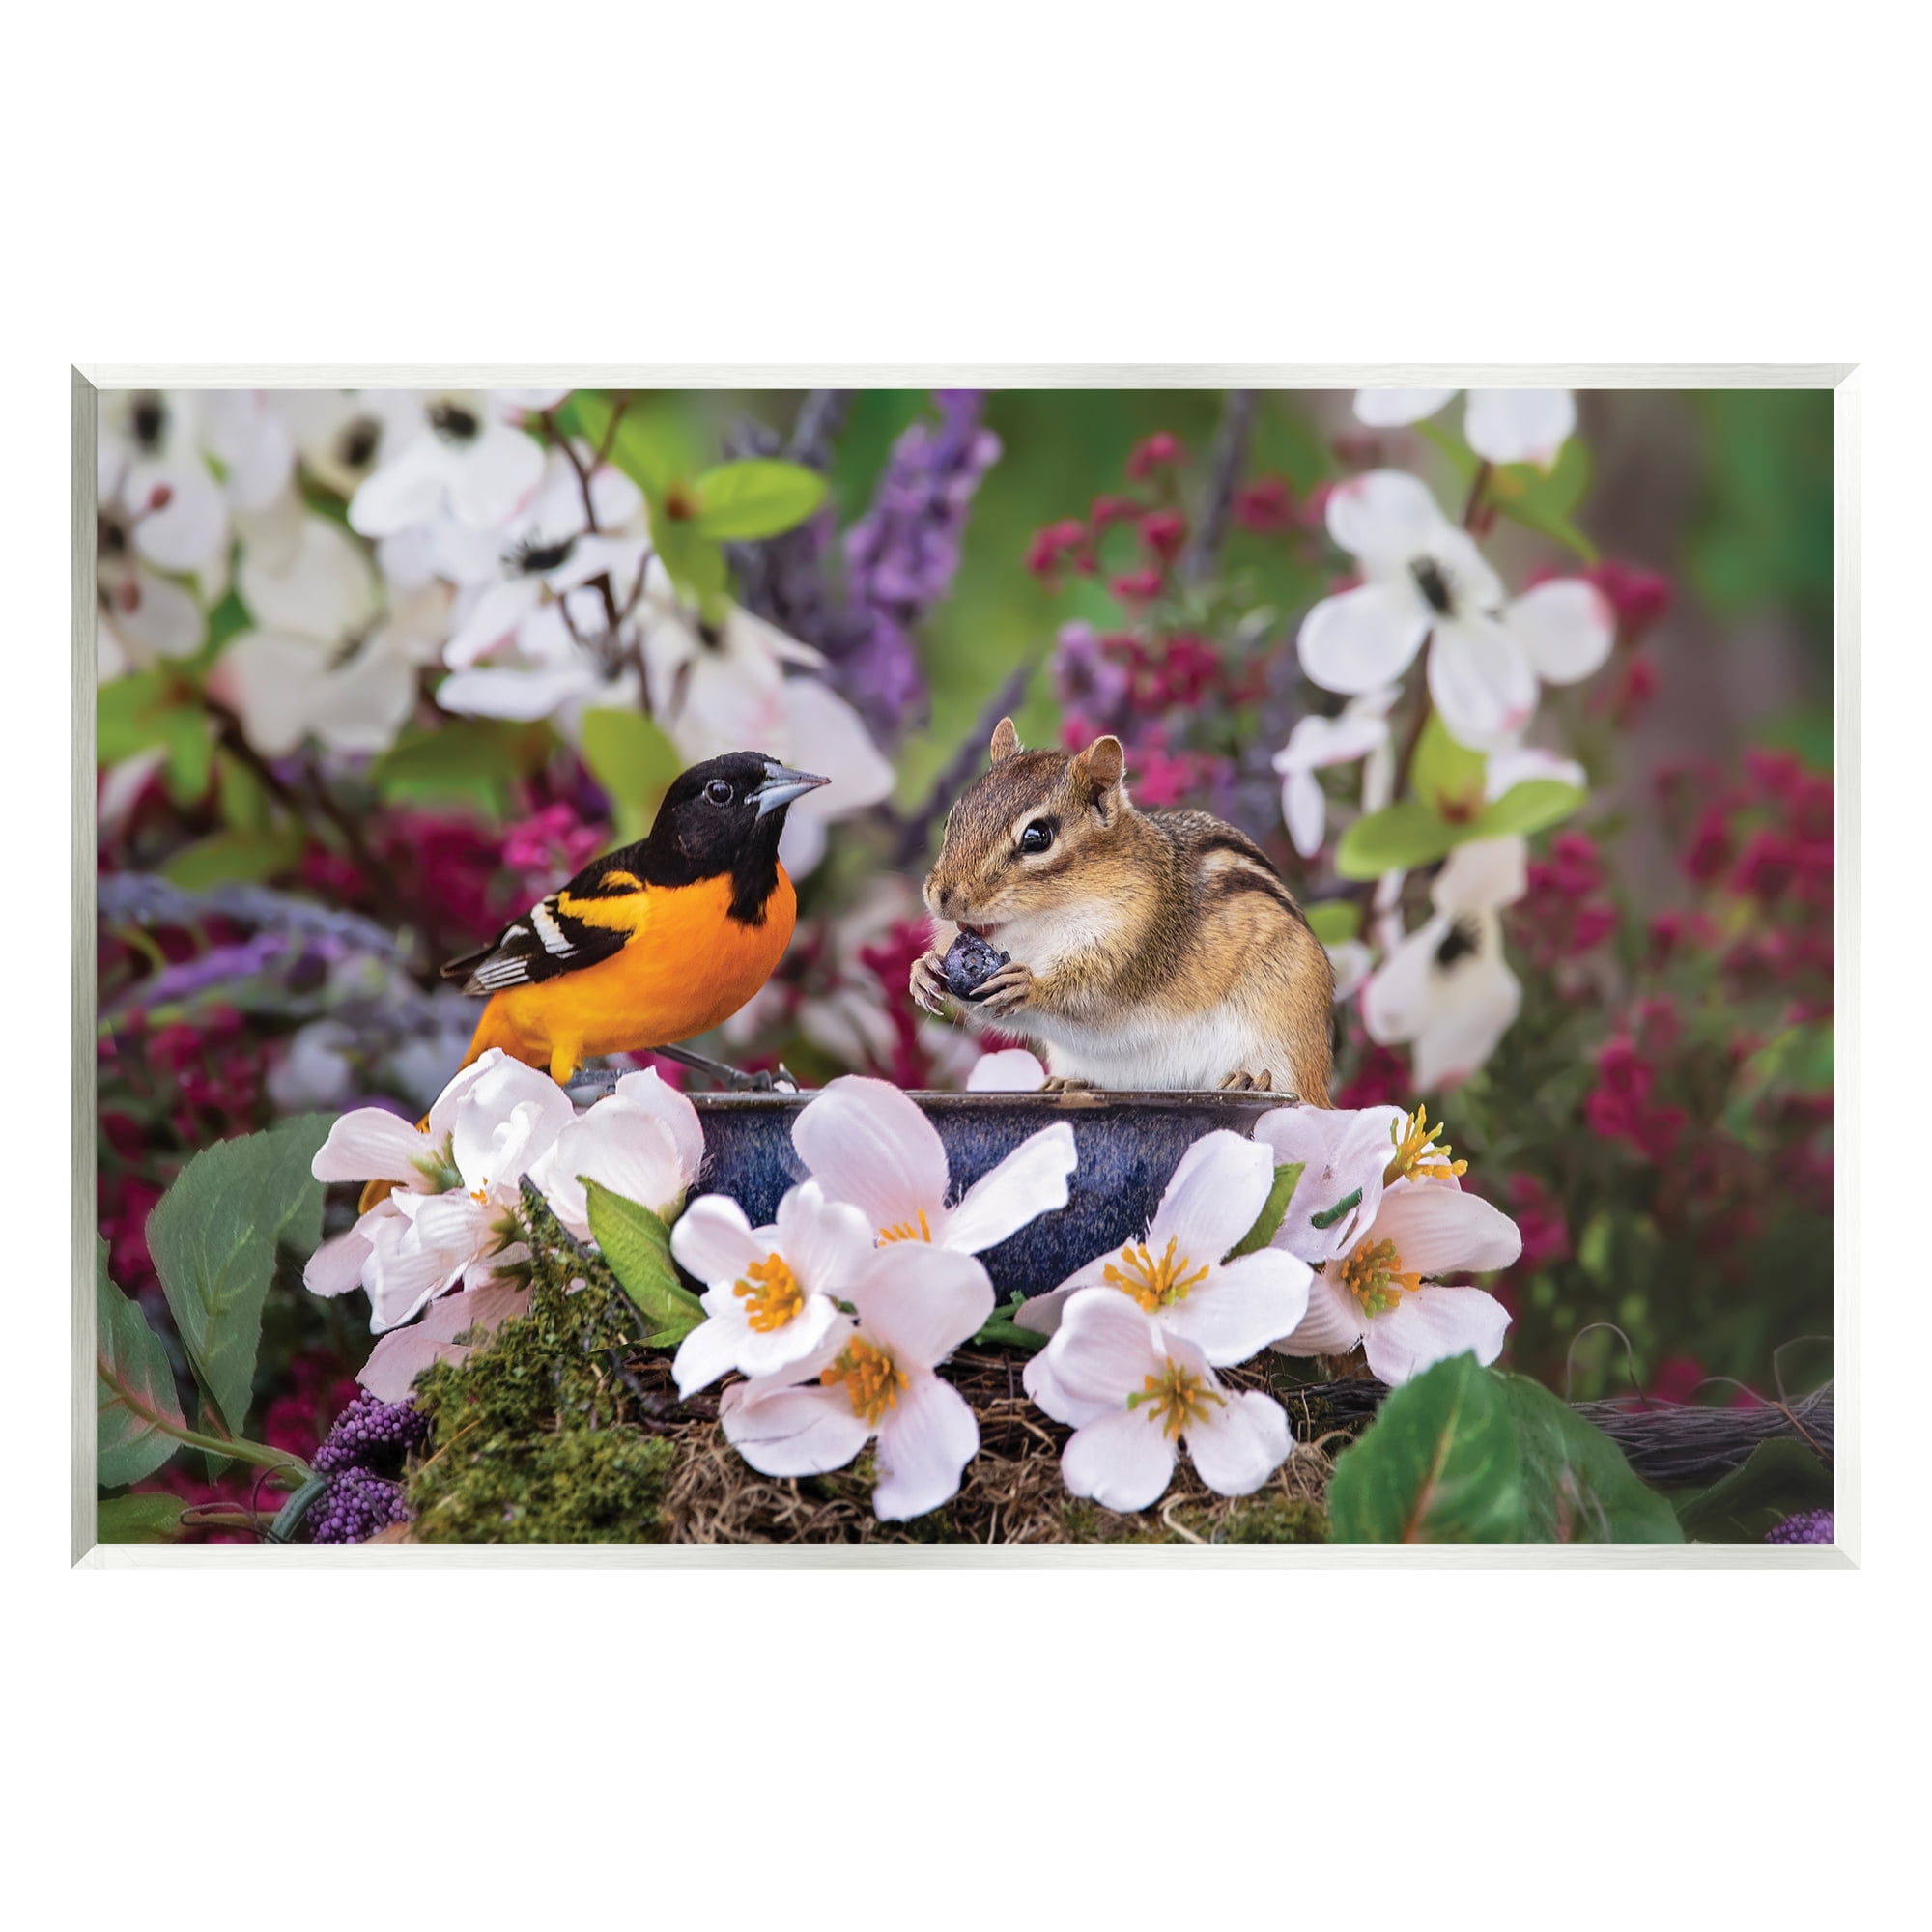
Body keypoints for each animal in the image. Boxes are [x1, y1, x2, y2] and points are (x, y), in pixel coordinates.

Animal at [910, 718, 1335, 1101]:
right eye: (950, 821)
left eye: (1037, 837)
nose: (942, 896)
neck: (1039, 925)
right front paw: (924, 971)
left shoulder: (1134, 946)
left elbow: (1082, 992)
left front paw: (1028, 984)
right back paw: (1067, 1083)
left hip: (1282, 1032)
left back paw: (1248, 1080)